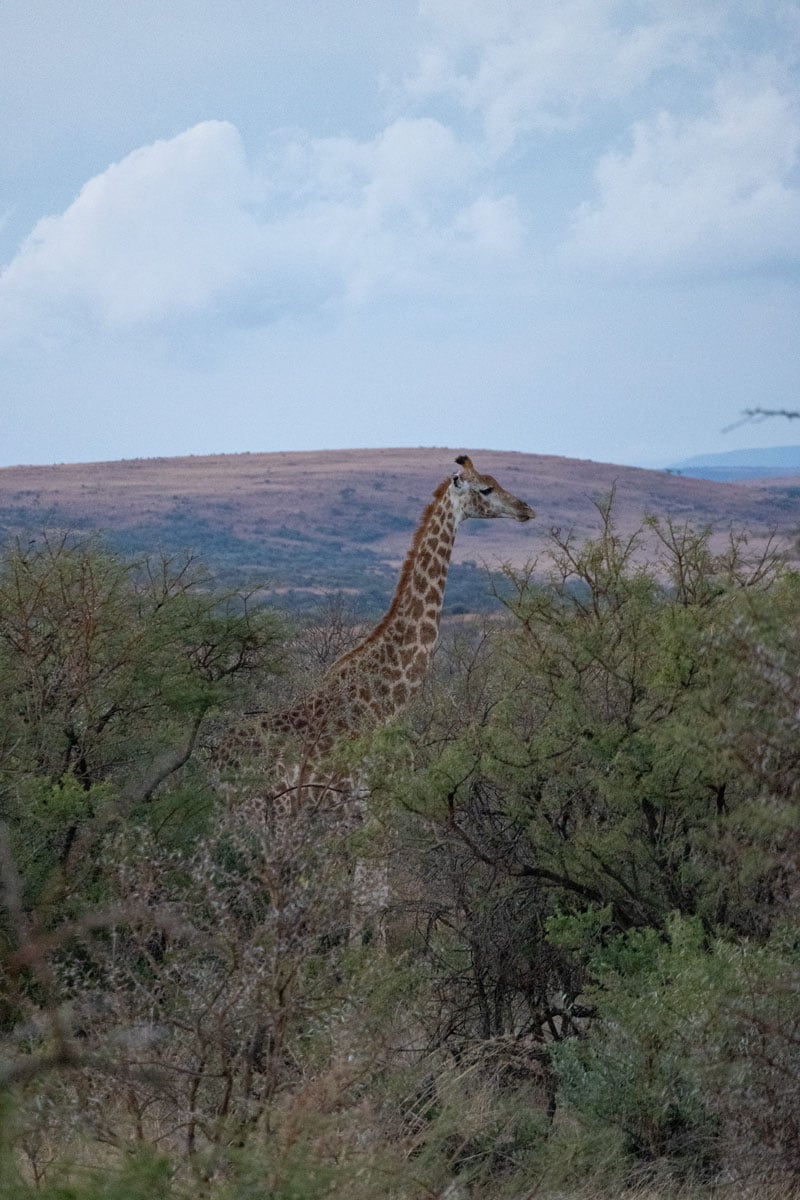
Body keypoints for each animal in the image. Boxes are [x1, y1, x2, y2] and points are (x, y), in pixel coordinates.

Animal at [211, 454, 535, 941]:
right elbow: (373, 900)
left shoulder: (357, 812)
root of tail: (213, 763)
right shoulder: (382, 797)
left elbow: (362, 899)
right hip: (261, 820)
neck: (391, 695)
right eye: (486, 489)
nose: (526, 509)